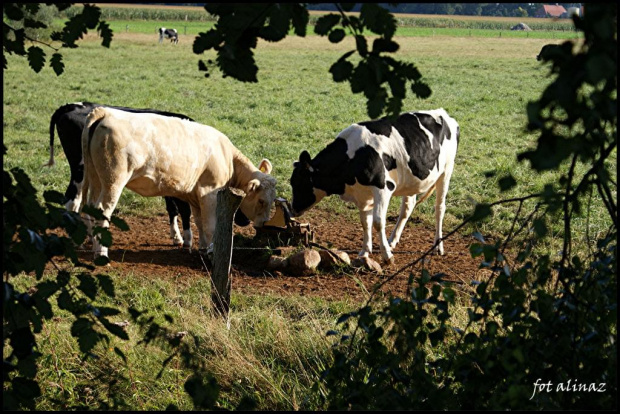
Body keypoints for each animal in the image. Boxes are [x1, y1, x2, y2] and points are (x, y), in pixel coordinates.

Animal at [46, 102, 196, 247]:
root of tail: (71, 106)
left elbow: (172, 207)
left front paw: (176, 236)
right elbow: (183, 208)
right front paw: (186, 239)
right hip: (80, 169)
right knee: (74, 201)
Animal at [82, 106, 276, 258]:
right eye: (261, 201)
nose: (264, 224)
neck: (227, 157)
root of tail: (106, 112)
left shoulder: (196, 196)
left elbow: (199, 221)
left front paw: (202, 247)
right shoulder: (210, 193)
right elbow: (210, 225)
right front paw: (211, 249)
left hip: (95, 179)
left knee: (90, 207)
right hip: (113, 182)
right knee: (103, 210)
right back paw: (101, 253)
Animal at [288, 108, 458, 264]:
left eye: (299, 182)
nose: (293, 209)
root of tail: (443, 113)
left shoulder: (383, 188)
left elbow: (378, 222)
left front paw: (387, 256)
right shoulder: (362, 195)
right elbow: (365, 222)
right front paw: (365, 251)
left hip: (446, 171)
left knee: (440, 208)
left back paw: (438, 246)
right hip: (411, 181)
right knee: (407, 208)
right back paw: (392, 241)